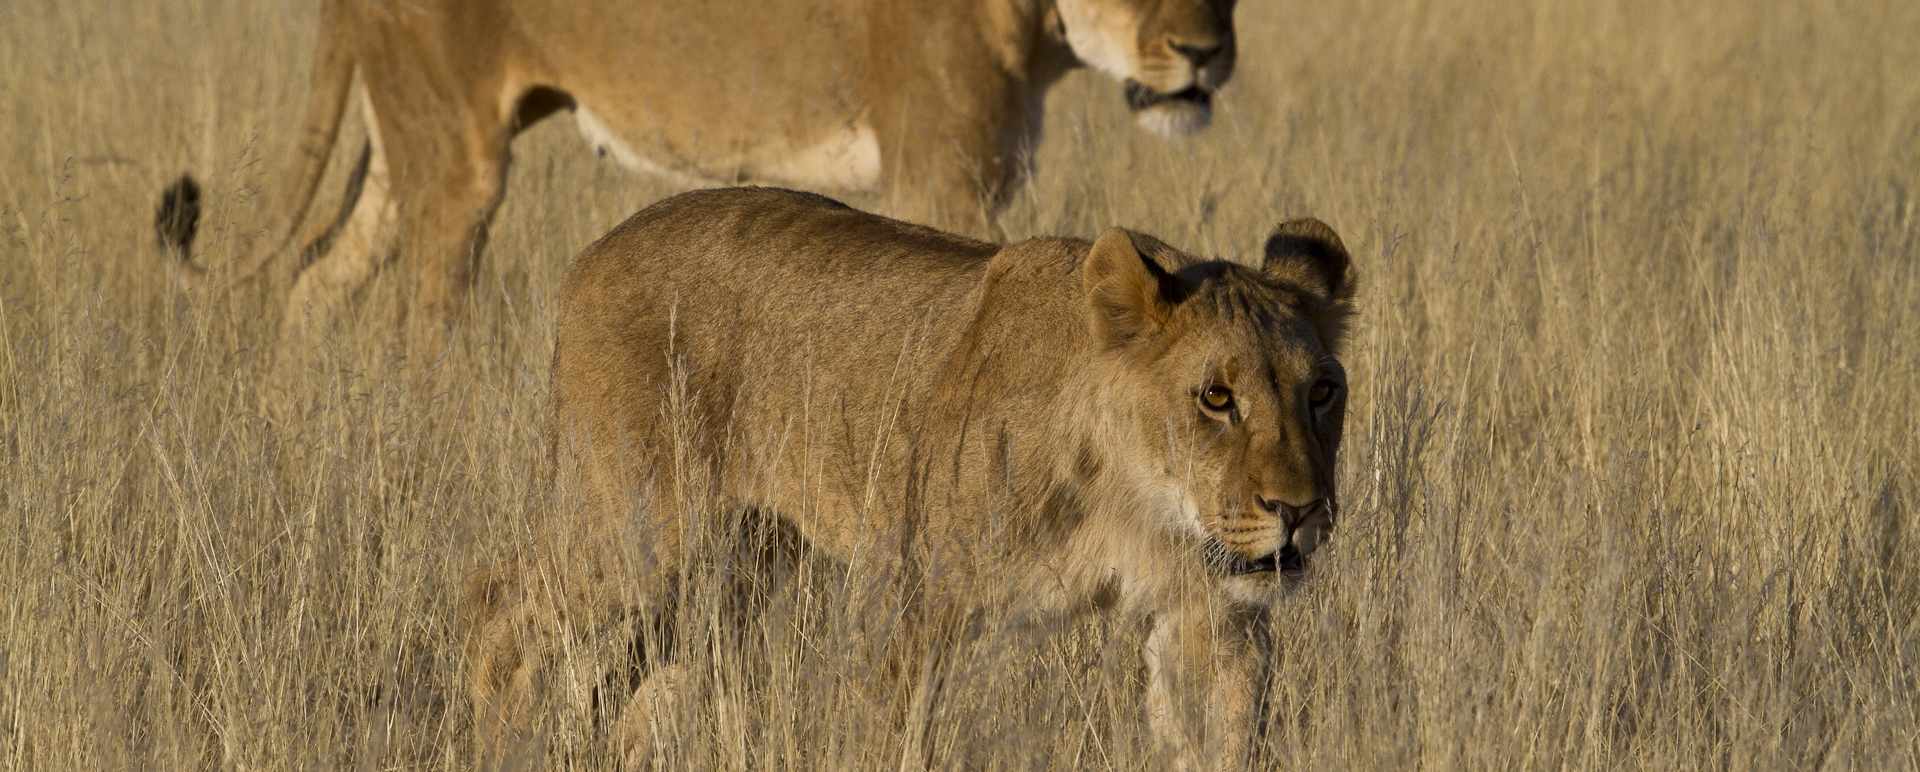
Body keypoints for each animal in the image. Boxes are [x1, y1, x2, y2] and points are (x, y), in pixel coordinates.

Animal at [150, 0, 1240, 408]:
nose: (1207, 54)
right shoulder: (942, 173)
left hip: (403, 146)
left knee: (313, 282)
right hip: (457, 158)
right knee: (424, 317)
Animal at [464, 187, 1356, 768]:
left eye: (1321, 392)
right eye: (1216, 398)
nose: (1300, 510)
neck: (1132, 499)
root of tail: (594, 252)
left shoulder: (1214, 618)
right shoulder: (906, 595)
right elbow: (890, 738)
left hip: (738, 558)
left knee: (639, 674)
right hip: (639, 529)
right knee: (502, 604)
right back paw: (501, 743)